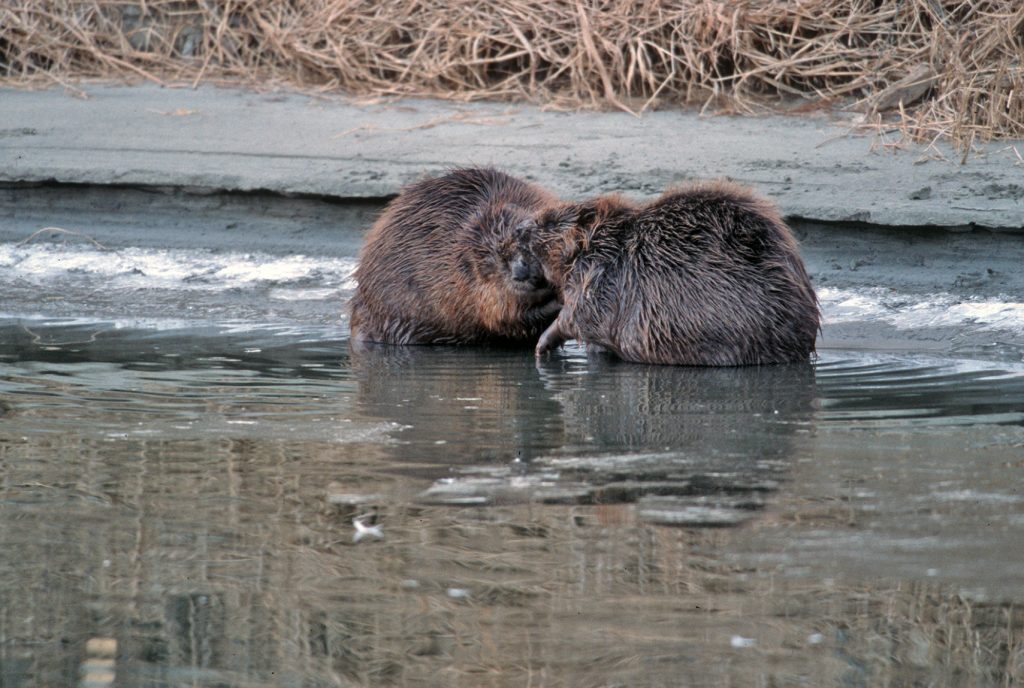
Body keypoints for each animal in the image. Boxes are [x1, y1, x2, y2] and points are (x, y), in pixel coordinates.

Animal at [532, 180, 819, 368]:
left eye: (549, 221)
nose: (522, 227)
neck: (610, 244)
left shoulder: (596, 278)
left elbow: (575, 317)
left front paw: (540, 346)